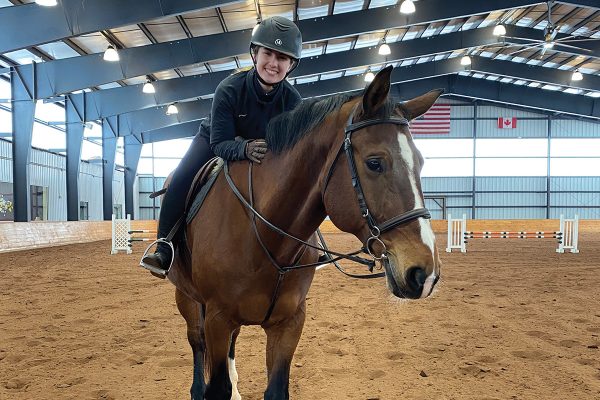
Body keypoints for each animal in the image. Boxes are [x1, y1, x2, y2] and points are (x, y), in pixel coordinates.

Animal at [166, 67, 442, 398]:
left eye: (422, 163)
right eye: (375, 163)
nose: (424, 273)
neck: (265, 239)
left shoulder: (289, 323)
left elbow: (275, 388)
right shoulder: (217, 319)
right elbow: (214, 383)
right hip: (188, 299)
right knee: (196, 343)